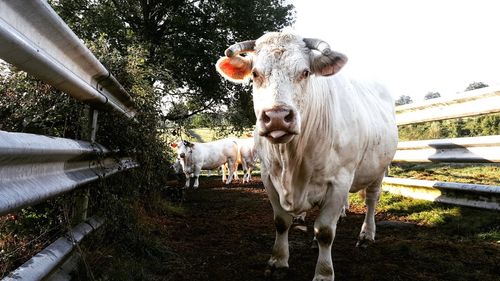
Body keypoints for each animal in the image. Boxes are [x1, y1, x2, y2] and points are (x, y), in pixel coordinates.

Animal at [217, 32, 396, 280]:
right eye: (255, 74)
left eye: (305, 72)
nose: (277, 117)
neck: (292, 162)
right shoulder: (268, 177)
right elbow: (281, 222)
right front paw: (278, 260)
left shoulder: (340, 180)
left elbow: (326, 231)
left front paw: (324, 272)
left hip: (378, 169)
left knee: (371, 200)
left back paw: (367, 235)